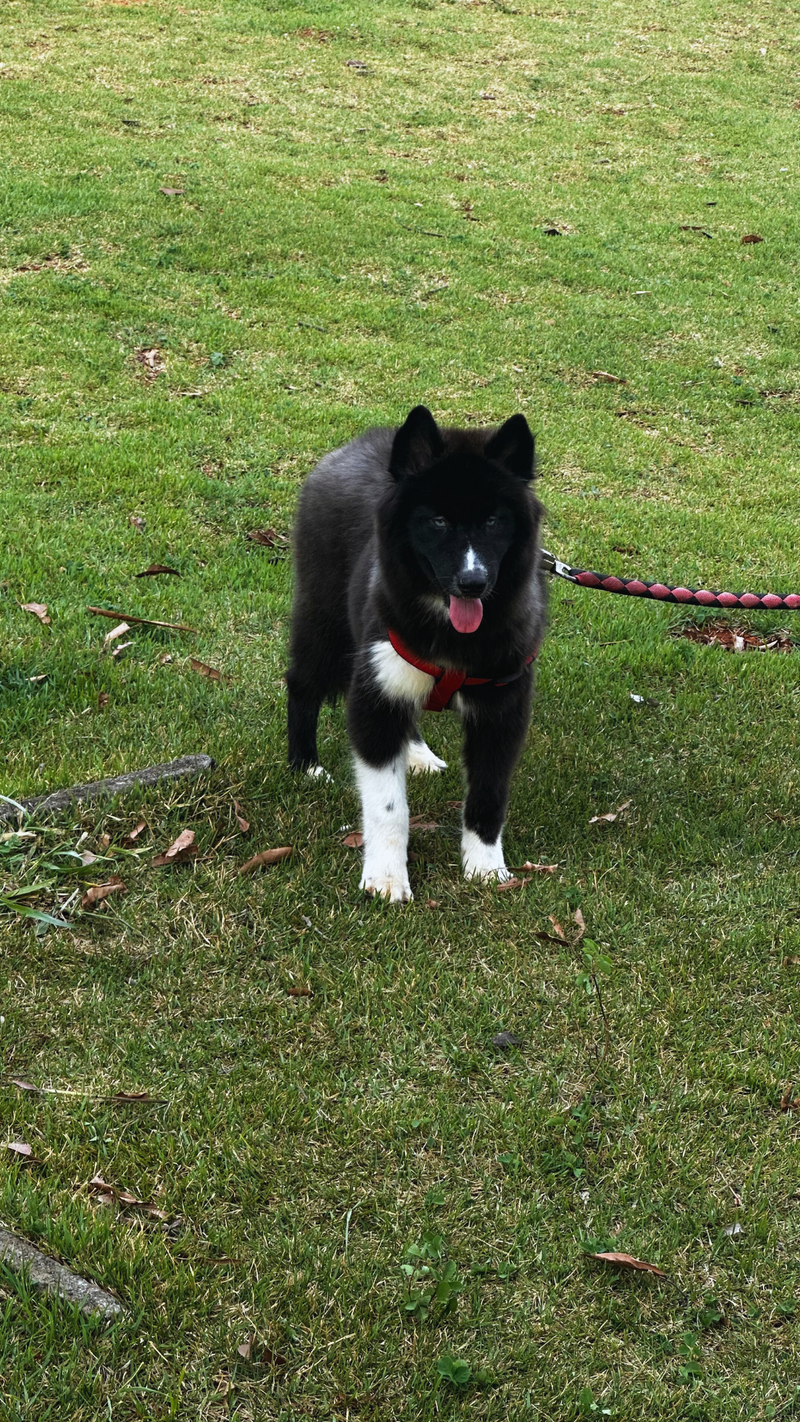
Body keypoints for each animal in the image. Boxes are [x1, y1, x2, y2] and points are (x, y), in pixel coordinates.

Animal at [289, 406, 551, 904]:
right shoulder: (374, 698)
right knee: (301, 683)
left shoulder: (502, 710)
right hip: (324, 620)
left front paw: (485, 867)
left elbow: (489, 794)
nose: (473, 583)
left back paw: (415, 753)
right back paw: (304, 765)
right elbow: (387, 805)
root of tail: (359, 443)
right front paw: (386, 879)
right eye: (439, 522)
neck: (451, 632)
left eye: (494, 521)